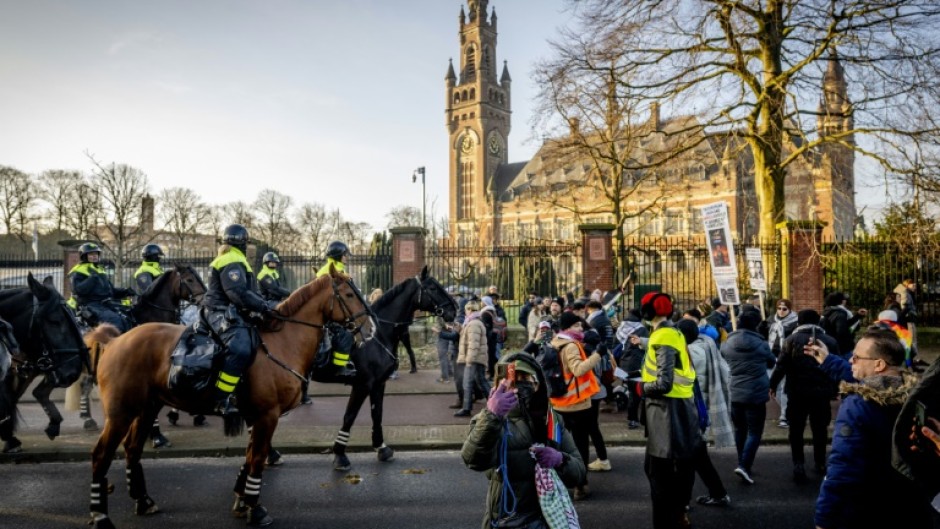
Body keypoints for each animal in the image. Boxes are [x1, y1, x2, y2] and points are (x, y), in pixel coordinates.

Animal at [86, 270, 370, 524]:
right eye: (348, 294)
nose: (371, 327)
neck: (283, 342)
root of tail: (115, 341)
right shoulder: (267, 415)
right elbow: (258, 457)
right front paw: (255, 508)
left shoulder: (258, 416)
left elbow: (250, 455)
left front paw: (242, 499)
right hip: (121, 413)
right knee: (101, 455)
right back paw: (100, 515)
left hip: (147, 408)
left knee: (132, 449)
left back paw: (143, 500)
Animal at [332, 266, 458, 468]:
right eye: (432, 288)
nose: (454, 309)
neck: (377, 334)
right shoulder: (362, 384)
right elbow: (349, 416)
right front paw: (340, 454)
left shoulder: (378, 383)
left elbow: (377, 413)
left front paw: (381, 448)